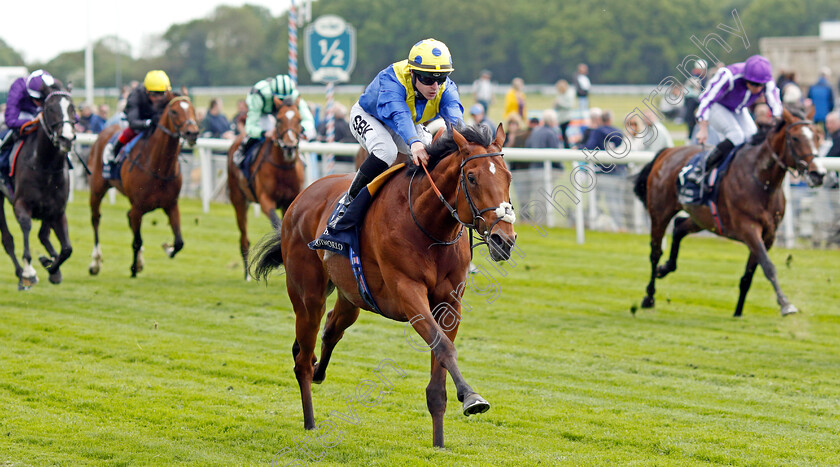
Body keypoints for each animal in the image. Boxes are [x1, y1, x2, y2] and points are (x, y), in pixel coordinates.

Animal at [0, 81, 76, 288]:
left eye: (73, 108)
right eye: (49, 109)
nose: (66, 138)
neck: (45, 165)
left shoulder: (57, 210)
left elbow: (67, 249)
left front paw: (52, 267)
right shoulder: (21, 204)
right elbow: (26, 228)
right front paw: (29, 271)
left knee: (43, 235)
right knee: (8, 239)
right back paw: (21, 272)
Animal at [88, 94, 199, 278]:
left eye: (193, 110)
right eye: (174, 111)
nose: (193, 132)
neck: (159, 168)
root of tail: (104, 131)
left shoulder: (171, 205)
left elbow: (179, 242)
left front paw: (167, 248)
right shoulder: (138, 207)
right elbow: (137, 241)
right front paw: (133, 269)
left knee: (127, 218)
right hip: (97, 188)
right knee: (96, 219)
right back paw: (96, 262)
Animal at [228, 96, 306, 280]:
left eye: (299, 120)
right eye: (279, 120)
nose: (290, 146)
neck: (283, 168)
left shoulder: (291, 201)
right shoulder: (265, 200)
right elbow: (276, 221)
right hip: (239, 199)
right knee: (244, 237)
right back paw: (246, 274)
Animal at [253, 124, 520, 450]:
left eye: (508, 177)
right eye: (471, 177)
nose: (503, 239)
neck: (429, 226)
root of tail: (300, 199)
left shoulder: (450, 304)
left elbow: (440, 364)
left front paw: (439, 441)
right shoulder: (408, 292)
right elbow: (444, 346)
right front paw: (471, 397)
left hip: (351, 296)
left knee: (331, 330)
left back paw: (319, 372)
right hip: (308, 296)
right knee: (303, 356)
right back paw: (310, 421)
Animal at [636, 108, 828, 316]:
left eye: (818, 136)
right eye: (795, 138)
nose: (818, 174)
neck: (762, 181)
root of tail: (668, 152)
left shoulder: (769, 235)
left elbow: (749, 275)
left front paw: (738, 312)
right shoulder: (748, 228)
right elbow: (768, 266)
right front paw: (785, 304)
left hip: (703, 218)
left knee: (679, 227)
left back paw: (665, 268)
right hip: (660, 212)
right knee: (655, 252)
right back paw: (649, 297)